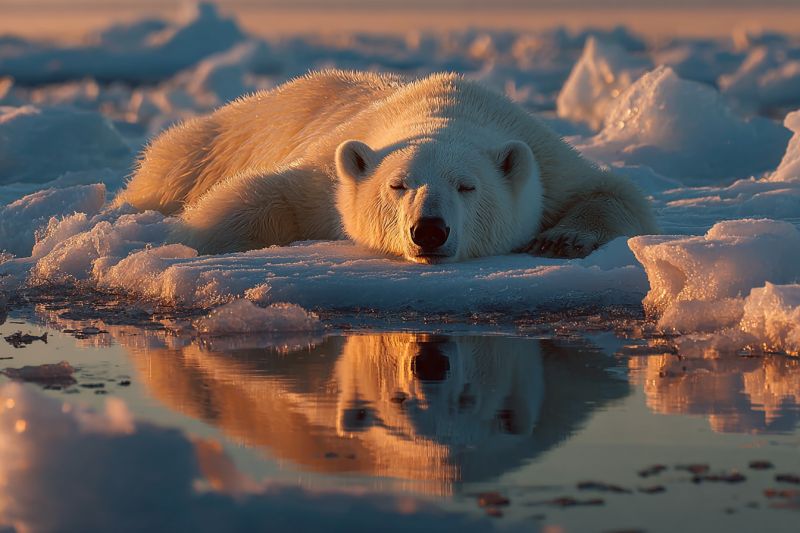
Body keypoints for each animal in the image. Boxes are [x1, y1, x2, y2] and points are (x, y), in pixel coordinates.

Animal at [114, 70, 657, 262]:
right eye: (398, 185)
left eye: (467, 187)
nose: (429, 230)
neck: (445, 107)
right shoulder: (325, 174)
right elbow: (261, 194)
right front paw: (187, 246)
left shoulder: (547, 159)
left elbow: (617, 193)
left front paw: (561, 238)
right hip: (199, 144)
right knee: (167, 168)